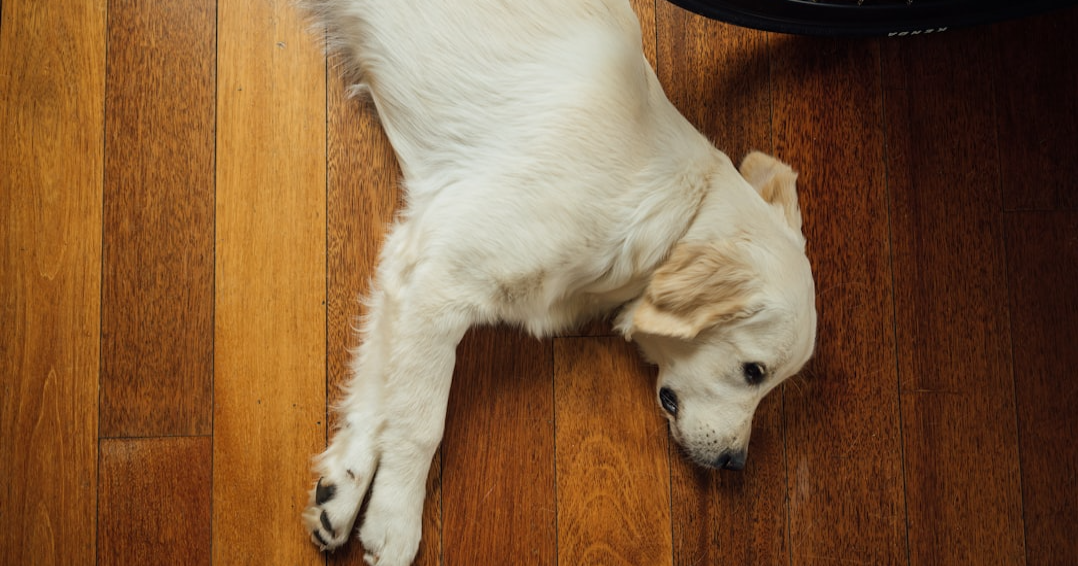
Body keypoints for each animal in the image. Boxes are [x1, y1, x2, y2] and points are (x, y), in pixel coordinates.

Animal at [301, 1, 817, 564]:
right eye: (753, 372)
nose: (733, 463)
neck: (673, 212)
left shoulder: (409, 265)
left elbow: (378, 399)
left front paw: (341, 494)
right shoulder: (443, 284)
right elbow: (421, 421)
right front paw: (395, 523)